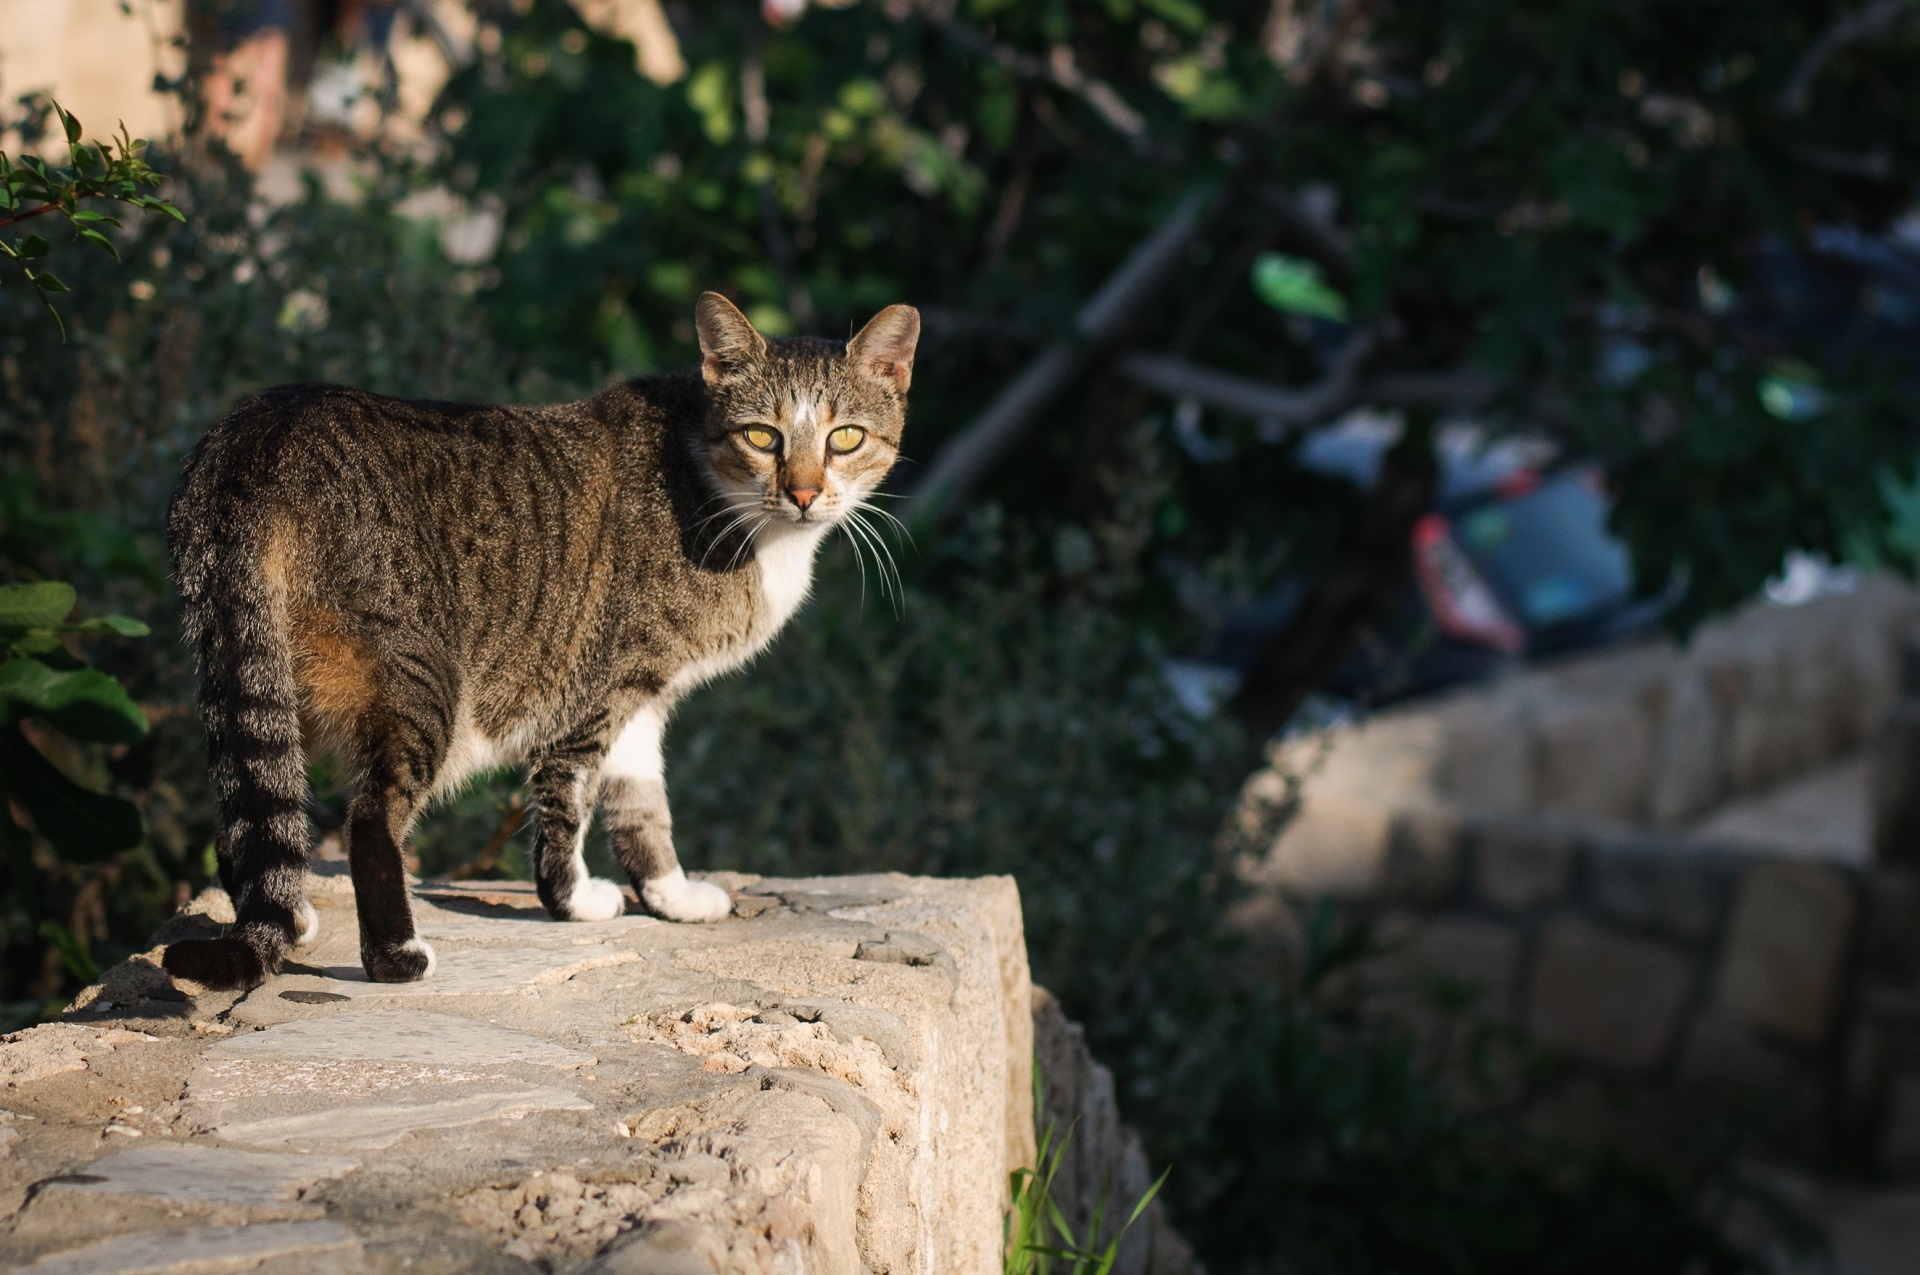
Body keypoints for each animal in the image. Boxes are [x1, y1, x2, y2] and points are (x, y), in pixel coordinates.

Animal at [161, 293, 917, 990]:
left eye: (846, 438)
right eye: (762, 436)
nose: (804, 494)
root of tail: (260, 431)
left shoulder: (643, 697)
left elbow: (642, 803)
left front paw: (670, 894)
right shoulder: (600, 685)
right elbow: (570, 801)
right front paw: (573, 900)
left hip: (266, 671)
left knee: (248, 802)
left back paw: (288, 916)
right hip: (421, 680)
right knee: (370, 820)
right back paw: (396, 957)